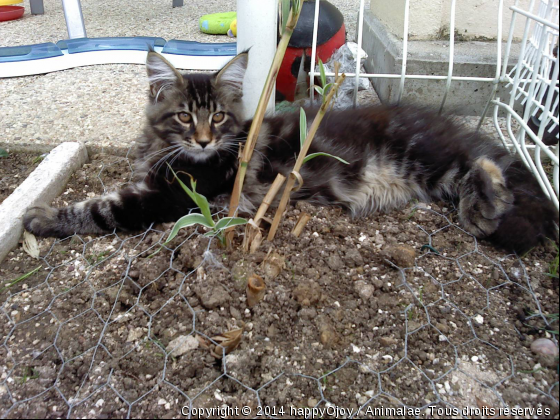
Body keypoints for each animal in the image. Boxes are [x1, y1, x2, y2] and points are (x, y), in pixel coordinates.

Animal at [23, 50, 556, 253]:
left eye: (218, 117)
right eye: (184, 117)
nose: (204, 141)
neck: (163, 147)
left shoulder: (172, 197)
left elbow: (102, 208)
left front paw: (43, 216)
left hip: (429, 157)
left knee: (487, 170)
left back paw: (488, 199)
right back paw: (482, 206)